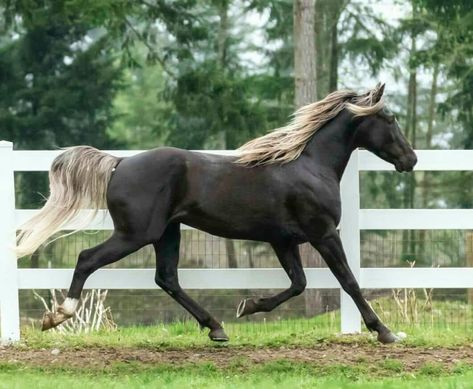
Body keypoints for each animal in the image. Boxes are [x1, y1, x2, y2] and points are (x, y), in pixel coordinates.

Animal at [16, 84, 416, 342]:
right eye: (390, 117)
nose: (410, 159)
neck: (309, 166)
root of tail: (119, 163)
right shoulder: (324, 233)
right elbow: (348, 281)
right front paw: (386, 333)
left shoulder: (283, 240)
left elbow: (298, 284)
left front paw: (248, 306)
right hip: (135, 234)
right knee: (87, 258)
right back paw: (58, 315)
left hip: (167, 233)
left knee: (167, 278)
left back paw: (217, 328)